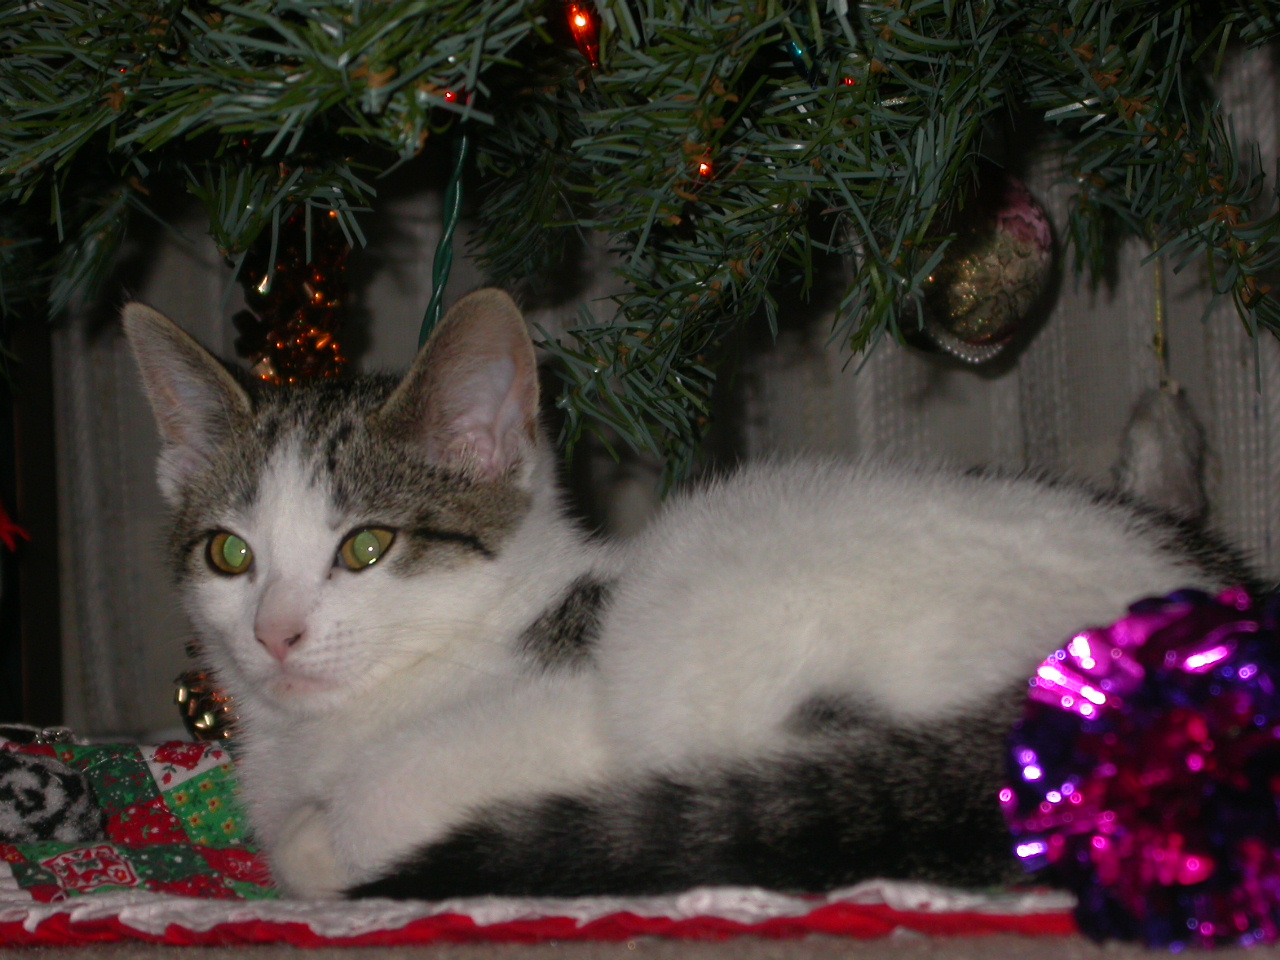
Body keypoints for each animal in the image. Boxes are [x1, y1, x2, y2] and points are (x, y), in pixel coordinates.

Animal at [123, 289, 1253, 900]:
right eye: (229, 555)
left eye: (365, 546)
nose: (275, 634)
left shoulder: (569, 711)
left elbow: (361, 807)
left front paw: (326, 843)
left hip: (713, 618)